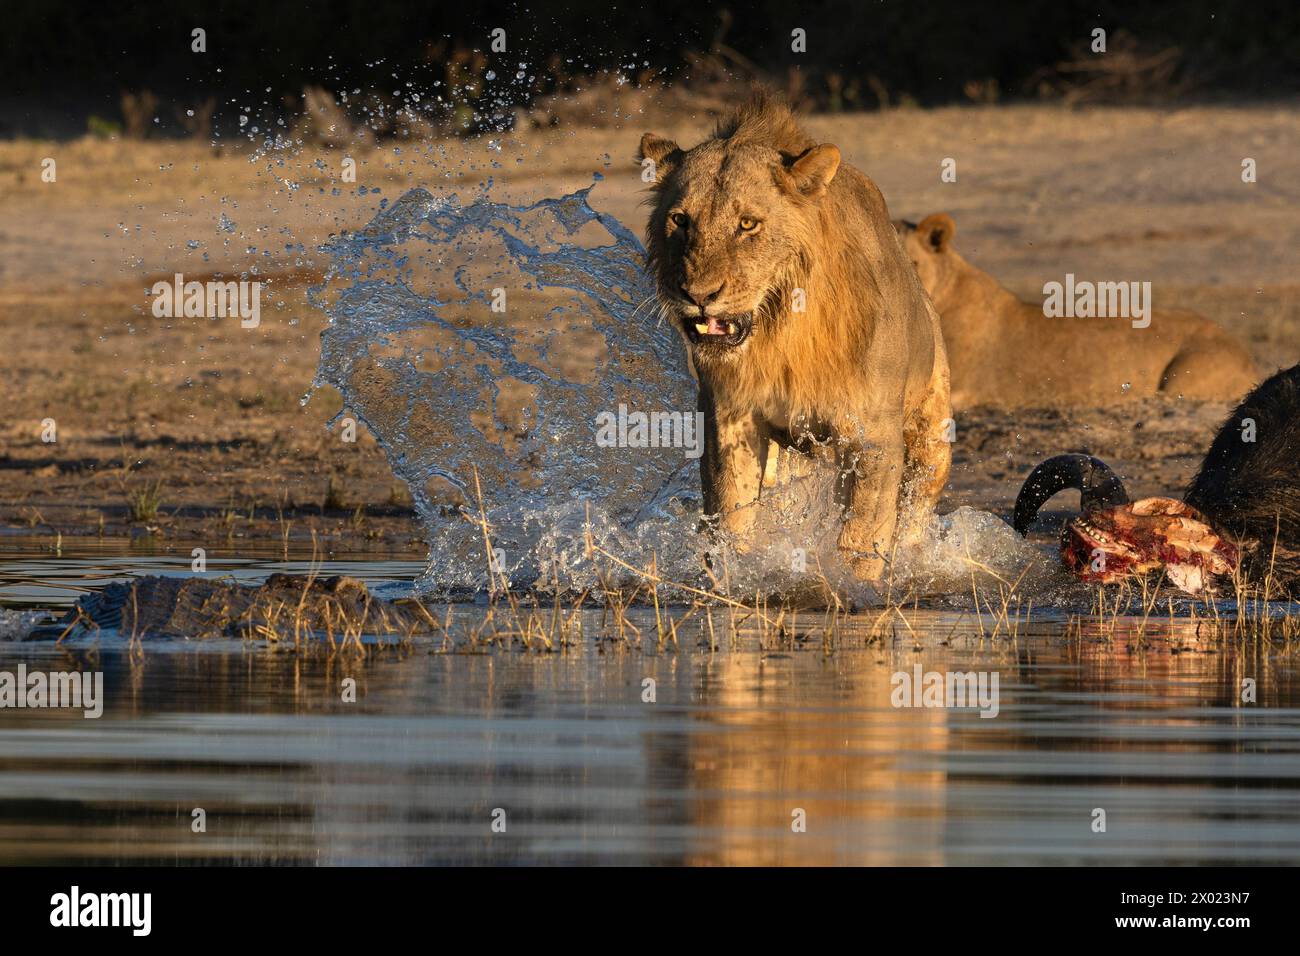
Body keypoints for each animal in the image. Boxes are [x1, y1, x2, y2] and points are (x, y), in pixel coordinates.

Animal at [638, 95, 951, 582]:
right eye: (680, 220)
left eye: (748, 224)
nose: (698, 295)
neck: (782, 332)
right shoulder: (731, 419)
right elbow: (731, 517)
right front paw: (732, 574)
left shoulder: (874, 436)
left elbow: (862, 536)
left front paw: (856, 587)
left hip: (932, 437)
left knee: (916, 509)